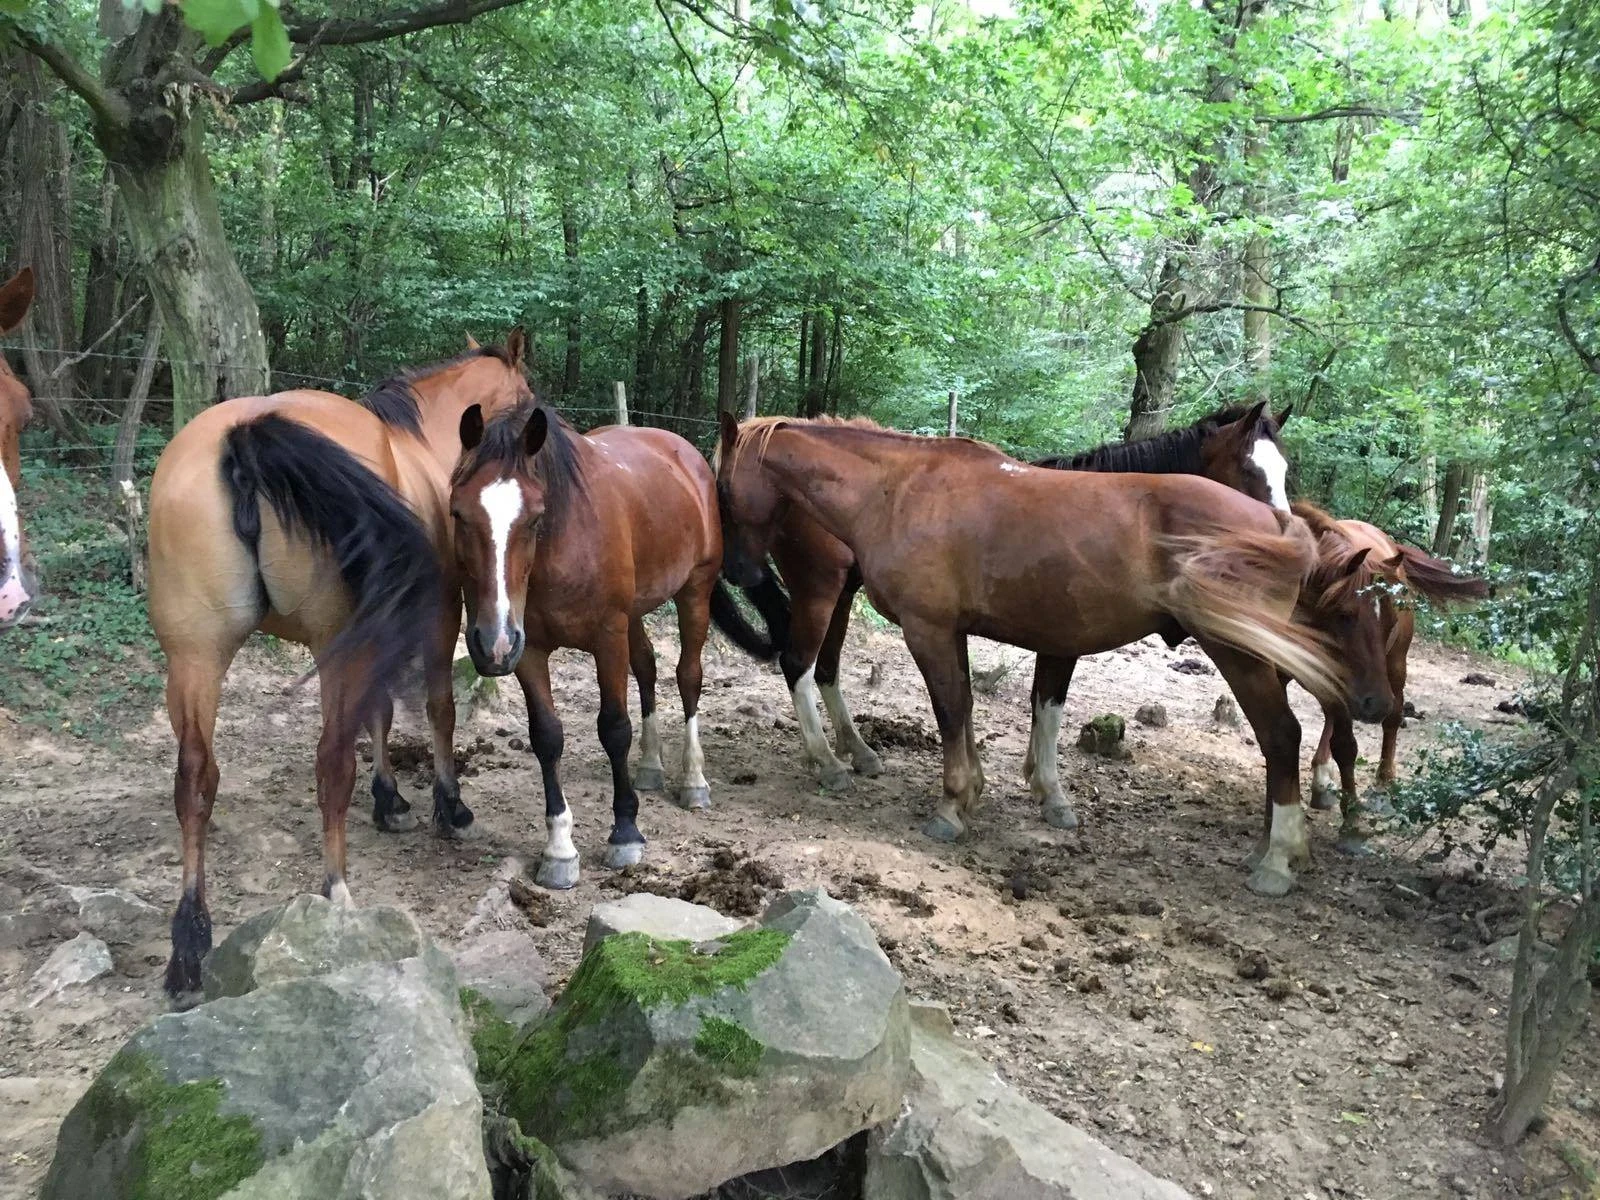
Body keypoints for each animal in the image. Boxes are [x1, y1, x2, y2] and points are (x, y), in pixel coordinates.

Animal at [147, 333, 533, 1001]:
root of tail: (244, 434)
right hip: (327, 646)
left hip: (195, 656)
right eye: (530, 397)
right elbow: (437, 710)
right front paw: (446, 806)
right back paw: (336, 895)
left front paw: (390, 800)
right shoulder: (436, 619)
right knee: (329, 765)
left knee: (195, 779)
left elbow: (378, 714)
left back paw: (189, 942)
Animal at [449, 401, 723, 890]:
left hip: (695, 591)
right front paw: (559, 849)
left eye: (535, 517)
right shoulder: (528, 650)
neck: (559, 546)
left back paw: (693, 780)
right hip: (634, 613)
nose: (492, 644)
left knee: (688, 678)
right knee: (647, 668)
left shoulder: (606, 637)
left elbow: (614, 728)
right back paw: (650, 767)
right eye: (459, 514)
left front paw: (625, 832)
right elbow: (546, 737)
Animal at [718, 402, 1296, 792]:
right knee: (799, 664)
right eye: (1250, 470)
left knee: (825, 668)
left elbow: (1042, 703)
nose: (1283, 541)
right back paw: (830, 760)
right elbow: (1043, 704)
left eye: (1284, 471)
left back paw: (856, 751)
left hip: (837, 594)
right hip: (821, 590)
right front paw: (1041, 784)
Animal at [1293, 502, 1489, 848]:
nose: (1375, 704)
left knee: (1393, 718)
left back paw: (1383, 783)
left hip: (1394, 667)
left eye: (1391, 620)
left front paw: (1352, 822)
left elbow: (1346, 744)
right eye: (1344, 615)